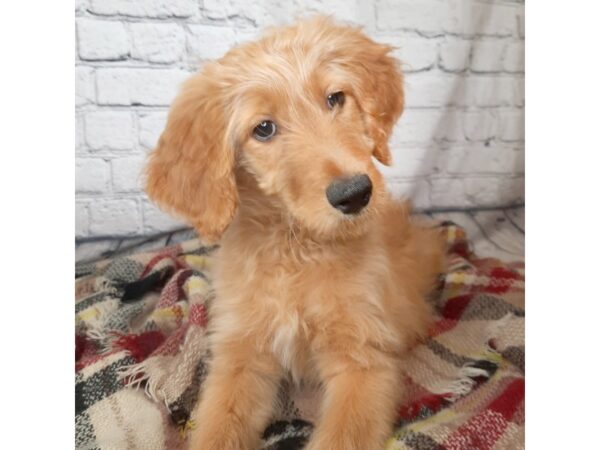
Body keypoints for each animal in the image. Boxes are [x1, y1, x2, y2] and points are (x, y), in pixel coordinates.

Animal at [145, 16, 446, 450]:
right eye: (264, 129)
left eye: (335, 98)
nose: (355, 194)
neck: (296, 247)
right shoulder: (238, 357)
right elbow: (218, 428)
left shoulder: (363, 360)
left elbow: (342, 438)